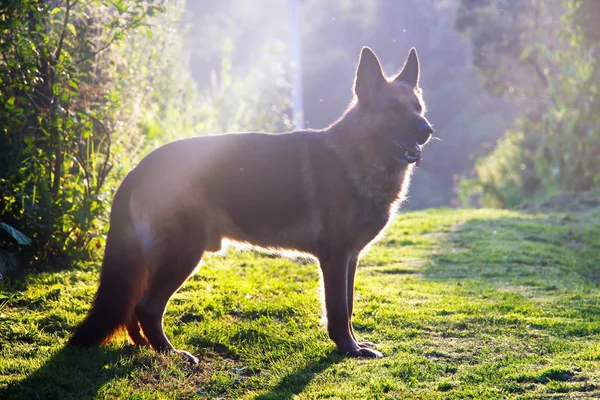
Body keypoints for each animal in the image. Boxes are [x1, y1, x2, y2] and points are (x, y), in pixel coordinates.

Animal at [69, 46, 432, 362]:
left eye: (418, 108)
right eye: (393, 109)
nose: (427, 130)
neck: (357, 156)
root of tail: (139, 167)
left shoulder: (350, 259)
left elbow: (350, 304)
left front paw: (356, 344)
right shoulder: (335, 257)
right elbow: (339, 311)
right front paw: (348, 349)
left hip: (157, 260)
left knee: (132, 307)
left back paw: (145, 346)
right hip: (182, 254)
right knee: (146, 307)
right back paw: (170, 353)